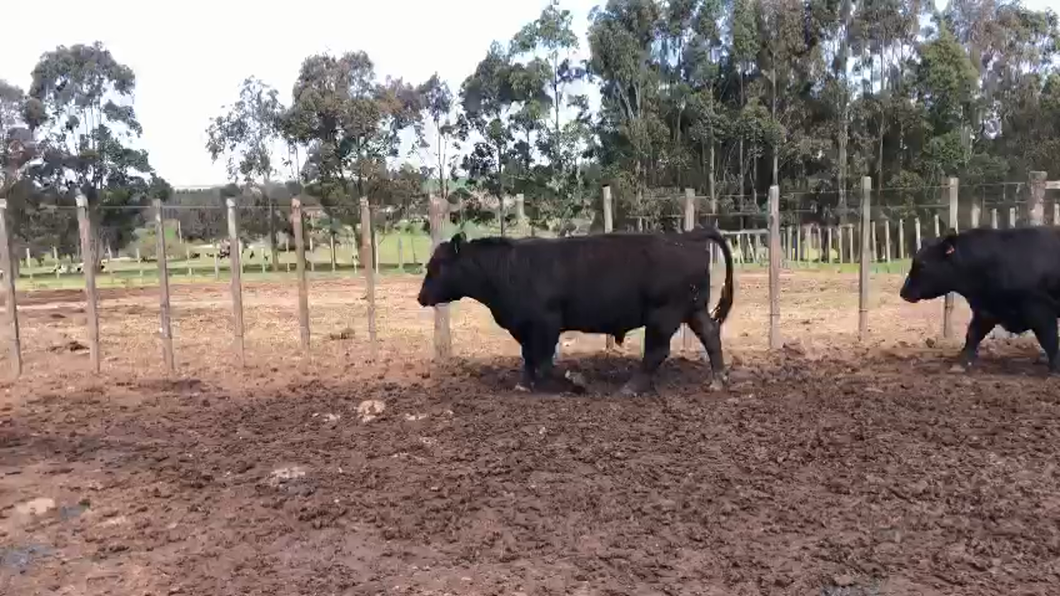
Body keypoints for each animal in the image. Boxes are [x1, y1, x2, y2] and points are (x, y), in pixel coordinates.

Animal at [417, 224, 733, 392]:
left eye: (437, 265)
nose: (421, 297)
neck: (508, 268)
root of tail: (685, 236)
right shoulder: (525, 327)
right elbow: (529, 358)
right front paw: (524, 384)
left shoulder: (546, 323)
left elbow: (544, 362)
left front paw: (575, 381)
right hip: (693, 309)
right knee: (710, 334)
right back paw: (717, 380)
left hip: (662, 314)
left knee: (657, 351)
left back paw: (631, 387)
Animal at [898, 225, 1060, 371]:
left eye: (923, 265)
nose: (903, 292)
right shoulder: (986, 310)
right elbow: (973, 335)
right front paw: (962, 363)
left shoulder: (1040, 310)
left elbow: (1049, 339)